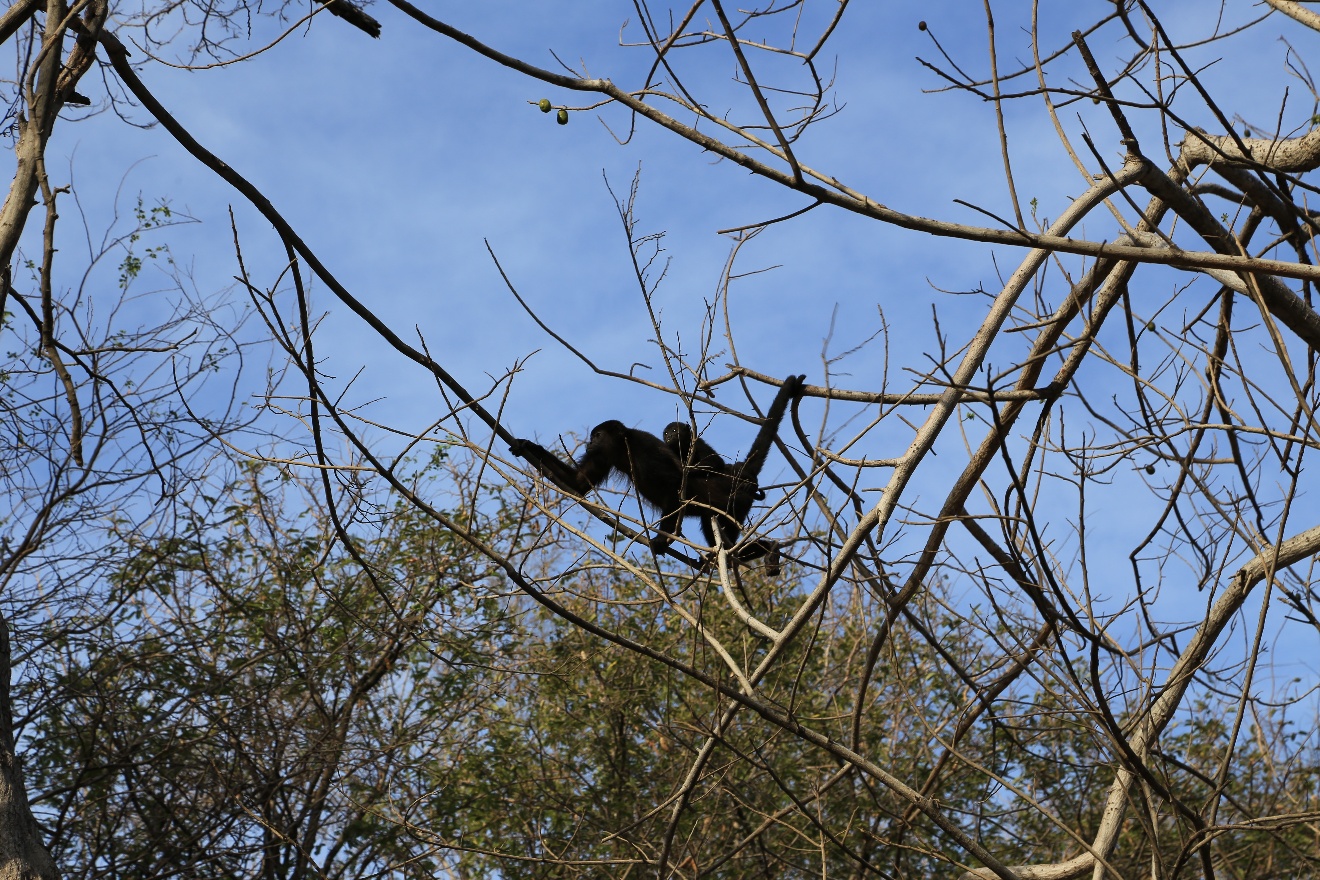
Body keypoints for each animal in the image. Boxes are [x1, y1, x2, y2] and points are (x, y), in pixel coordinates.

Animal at [509, 420, 687, 554]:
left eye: (598, 435)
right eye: (592, 436)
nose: (590, 443)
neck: (623, 446)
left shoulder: (644, 448)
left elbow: (673, 482)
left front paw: (661, 539)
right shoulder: (602, 455)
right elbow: (577, 482)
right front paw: (528, 445)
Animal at [663, 374, 806, 576]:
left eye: (675, 430)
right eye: (666, 433)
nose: (668, 436)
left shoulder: (697, 442)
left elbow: (715, 462)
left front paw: (686, 471)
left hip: (739, 502)